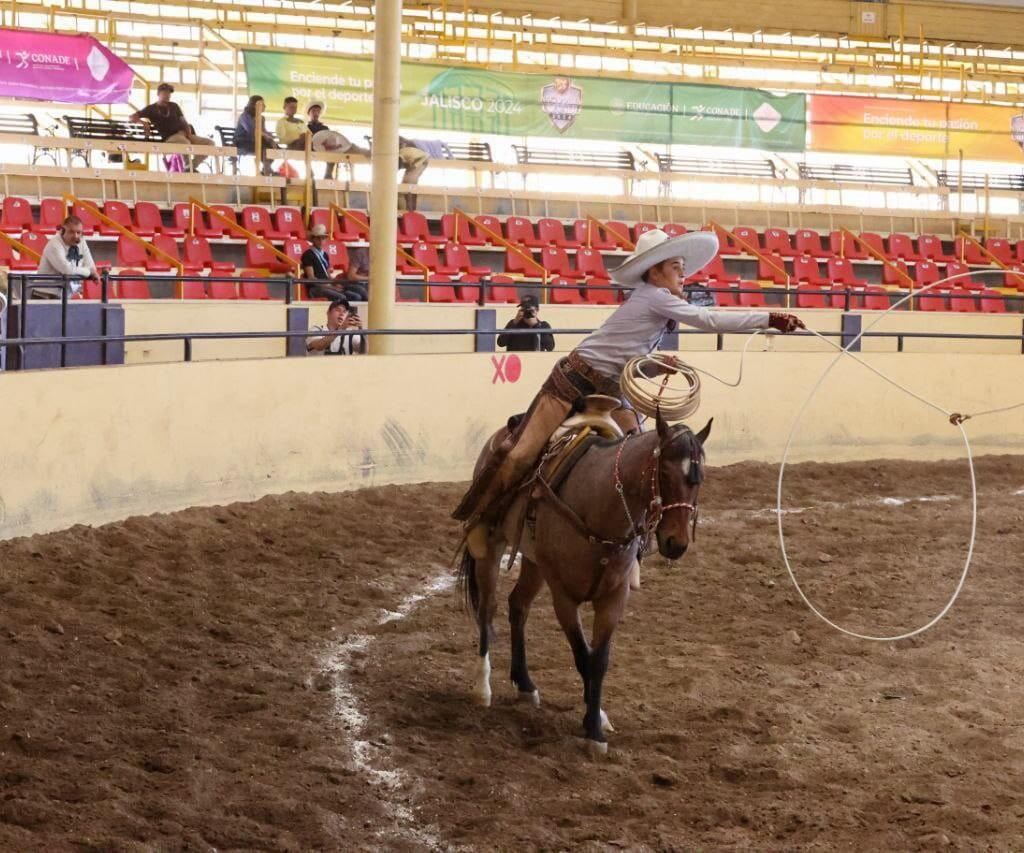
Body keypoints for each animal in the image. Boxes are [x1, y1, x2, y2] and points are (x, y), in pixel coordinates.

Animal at [458, 409, 712, 753]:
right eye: (665, 471)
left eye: (698, 478)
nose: (677, 543)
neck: (598, 506)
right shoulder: (564, 597)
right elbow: (582, 656)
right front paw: (593, 729)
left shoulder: (614, 598)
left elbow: (599, 660)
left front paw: (597, 718)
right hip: (492, 548)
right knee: (488, 609)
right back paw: (482, 686)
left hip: (535, 563)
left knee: (518, 606)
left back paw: (524, 683)